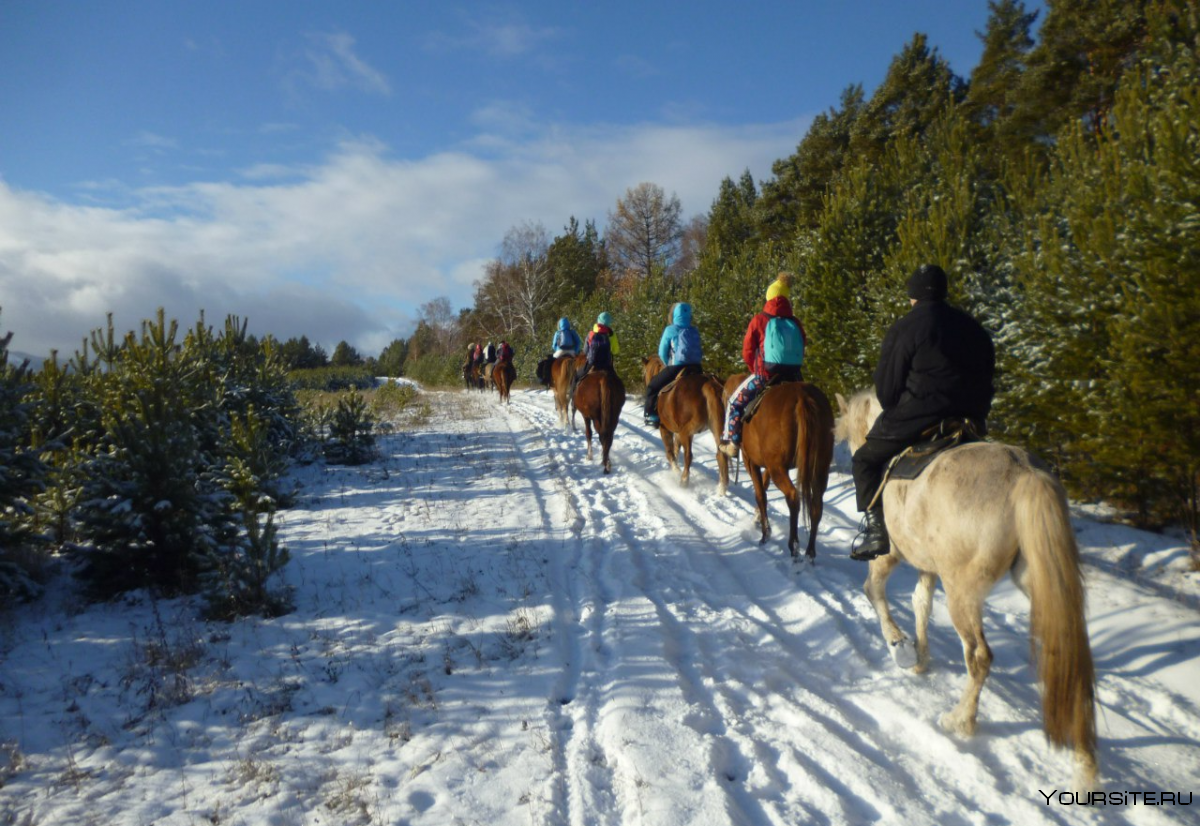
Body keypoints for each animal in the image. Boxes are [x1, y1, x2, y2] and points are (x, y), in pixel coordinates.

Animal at [638, 357, 729, 494]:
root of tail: (708, 384)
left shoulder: (665, 429)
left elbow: (670, 452)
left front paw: (676, 470)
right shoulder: (677, 433)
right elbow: (676, 449)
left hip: (687, 432)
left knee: (688, 456)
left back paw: (684, 480)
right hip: (718, 429)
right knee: (721, 455)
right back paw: (721, 489)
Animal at [739, 381, 835, 561]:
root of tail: (802, 395)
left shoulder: (751, 461)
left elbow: (760, 495)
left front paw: (765, 534)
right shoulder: (768, 466)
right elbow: (764, 486)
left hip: (778, 468)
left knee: (793, 496)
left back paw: (794, 546)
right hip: (820, 467)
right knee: (816, 505)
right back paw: (810, 552)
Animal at [835, 391, 1099, 792]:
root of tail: (1025, 474)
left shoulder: (888, 556)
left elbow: (874, 592)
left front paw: (900, 647)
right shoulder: (929, 566)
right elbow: (921, 604)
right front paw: (920, 659)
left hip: (962, 592)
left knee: (979, 656)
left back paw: (960, 720)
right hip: (1038, 580)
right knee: (1069, 656)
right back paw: (1084, 767)